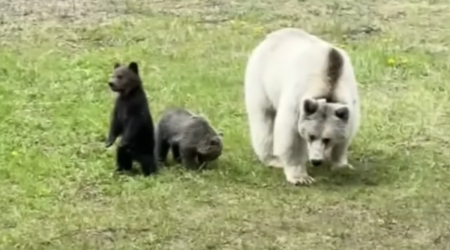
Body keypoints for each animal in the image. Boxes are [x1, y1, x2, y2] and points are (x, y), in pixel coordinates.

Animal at [244, 28, 360, 186]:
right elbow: (290, 135)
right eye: (311, 136)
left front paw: (341, 164)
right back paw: (273, 159)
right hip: (261, 82)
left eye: (327, 139)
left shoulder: (351, 102)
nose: (316, 161)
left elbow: (346, 135)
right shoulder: (297, 98)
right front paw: (300, 177)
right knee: (264, 120)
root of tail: (271, 36)